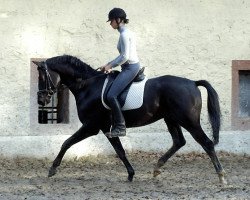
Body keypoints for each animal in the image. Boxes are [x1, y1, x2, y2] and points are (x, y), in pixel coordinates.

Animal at [32, 54, 227, 184]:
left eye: (41, 76)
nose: (41, 100)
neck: (88, 86)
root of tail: (193, 83)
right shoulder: (106, 128)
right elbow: (120, 151)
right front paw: (131, 174)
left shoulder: (91, 126)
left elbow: (67, 142)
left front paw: (52, 169)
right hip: (171, 119)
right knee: (179, 141)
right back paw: (157, 168)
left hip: (188, 121)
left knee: (207, 143)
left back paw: (221, 176)